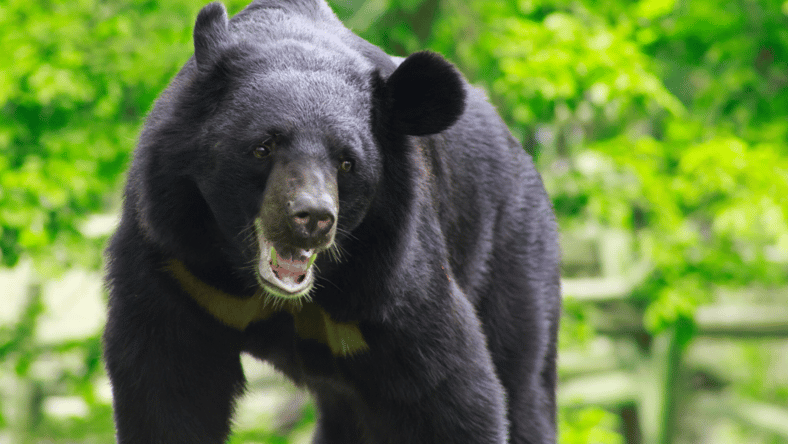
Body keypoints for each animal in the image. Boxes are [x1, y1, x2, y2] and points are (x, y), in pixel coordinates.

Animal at [102, 1, 561, 443]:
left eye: (346, 162)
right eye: (263, 147)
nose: (313, 218)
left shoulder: (391, 278)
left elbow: (451, 392)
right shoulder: (176, 263)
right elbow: (168, 387)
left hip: (512, 256)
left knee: (523, 382)